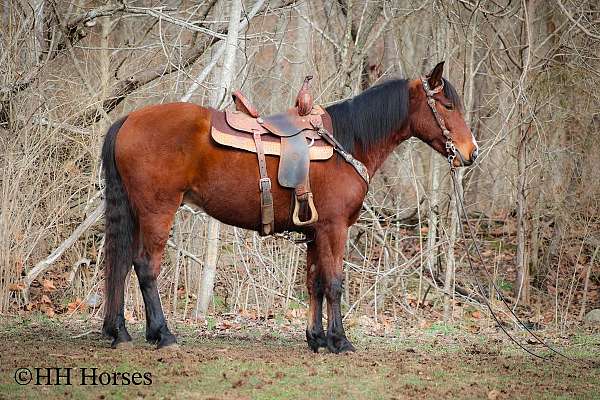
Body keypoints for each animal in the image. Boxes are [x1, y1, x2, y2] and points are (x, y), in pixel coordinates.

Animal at [102, 61, 478, 352]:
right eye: (447, 105)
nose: (471, 152)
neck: (347, 142)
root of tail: (128, 120)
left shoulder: (314, 231)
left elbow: (315, 282)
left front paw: (317, 339)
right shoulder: (334, 228)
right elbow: (335, 282)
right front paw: (340, 341)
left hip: (137, 213)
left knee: (121, 262)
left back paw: (120, 332)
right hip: (158, 212)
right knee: (145, 267)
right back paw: (163, 334)